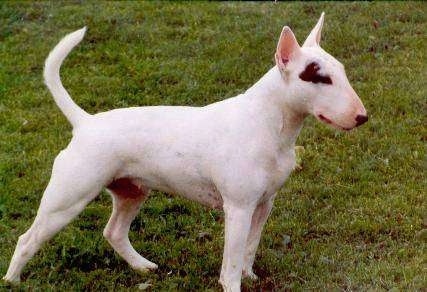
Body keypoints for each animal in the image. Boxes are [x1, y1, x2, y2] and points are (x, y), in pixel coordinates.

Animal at [3, 12, 368, 290]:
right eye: (320, 78)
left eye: (341, 72)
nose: (362, 117)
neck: (268, 122)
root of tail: (85, 123)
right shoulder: (238, 208)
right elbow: (231, 262)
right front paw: (234, 284)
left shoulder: (263, 204)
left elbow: (249, 249)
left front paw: (250, 275)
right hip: (67, 199)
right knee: (27, 239)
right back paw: (12, 280)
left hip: (132, 191)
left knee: (114, 232)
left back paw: (143, 267)